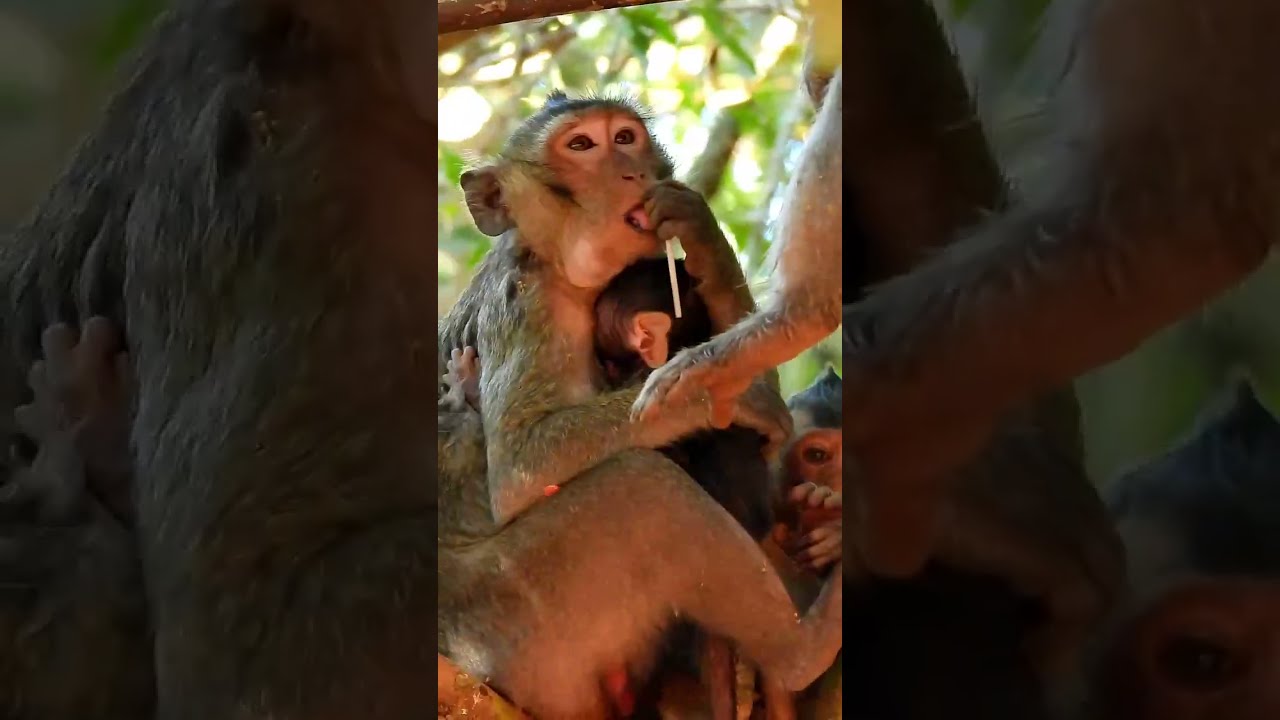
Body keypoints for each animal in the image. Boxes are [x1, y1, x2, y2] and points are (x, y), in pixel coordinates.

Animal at [437, 87, 844, 718]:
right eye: (581, 145)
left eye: (624, 137)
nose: (632, 171)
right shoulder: (528, 301)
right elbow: (520, 469)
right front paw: (709, 392)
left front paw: (703, 239)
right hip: (512, 624)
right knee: (641, 486)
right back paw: (804, 646)